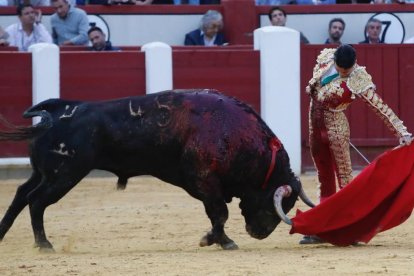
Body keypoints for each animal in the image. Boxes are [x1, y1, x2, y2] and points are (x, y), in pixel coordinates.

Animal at [0, 90, 304, 250]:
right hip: (64, 175)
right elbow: (220, 214)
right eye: (277, 203)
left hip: (44, 172)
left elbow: (216, 214)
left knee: (21, 194)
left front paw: (219, 240)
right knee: (36, 200)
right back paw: (44, 244)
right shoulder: (206, 181)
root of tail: (56, 111)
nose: (259, 233)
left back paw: (3, 233)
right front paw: (219, 241)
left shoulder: (206, 186)